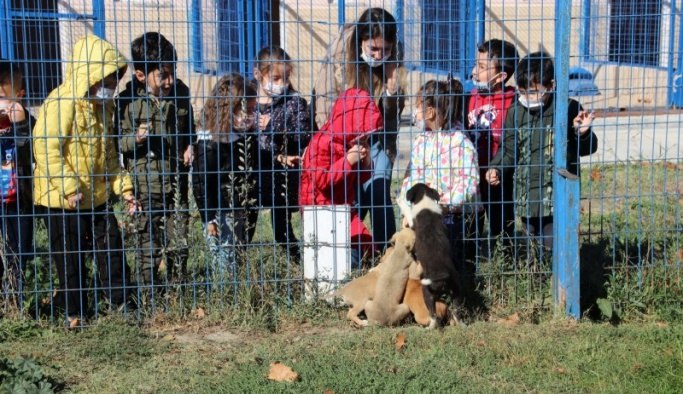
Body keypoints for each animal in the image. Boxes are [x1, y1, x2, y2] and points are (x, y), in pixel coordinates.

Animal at [396, 183, 464, 328]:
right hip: (456, 291)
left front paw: (400, 200)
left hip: (428, 292)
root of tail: (444, 275)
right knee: (456, 311)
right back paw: (461, 324)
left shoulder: (412, 221)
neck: (425, 201)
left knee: (433, 315)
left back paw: (429, 328)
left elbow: (407, 210)